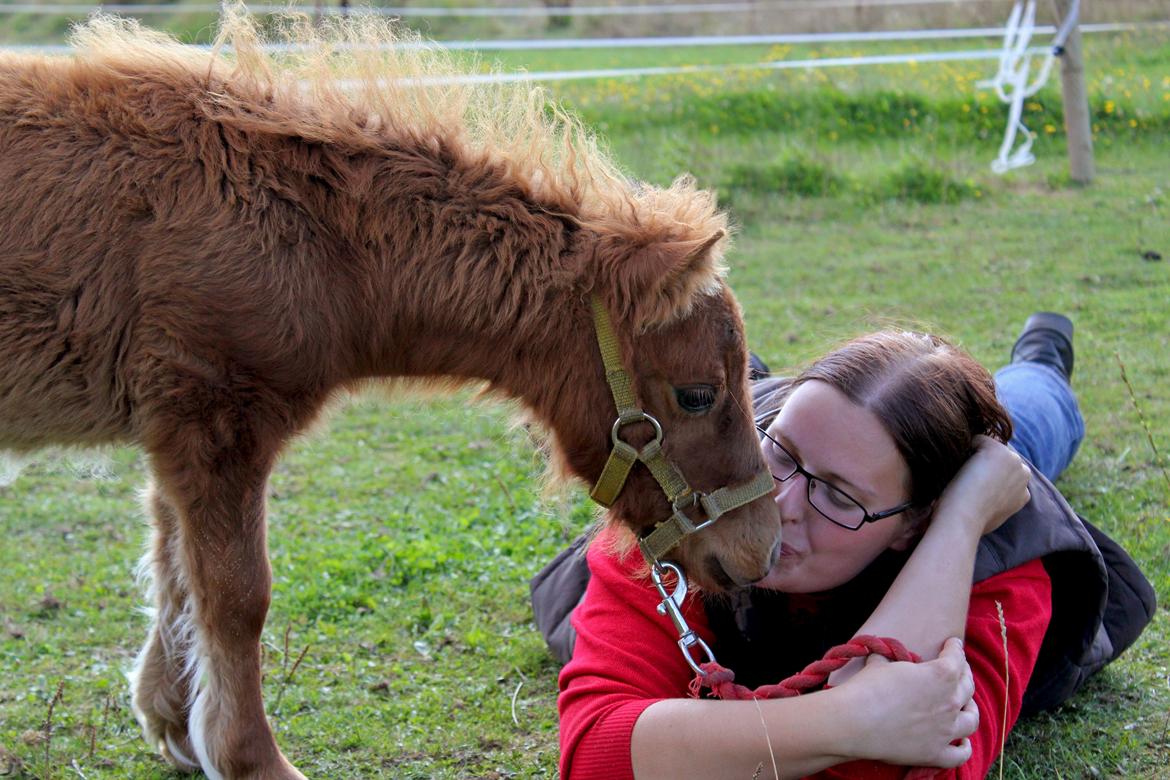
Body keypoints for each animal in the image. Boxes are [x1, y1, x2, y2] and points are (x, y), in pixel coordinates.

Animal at [0, 9, 779, 779]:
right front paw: (251, 760)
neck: (317, 236)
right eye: (698, 395)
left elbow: (175, 575)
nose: (760, 550)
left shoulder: (175, 433)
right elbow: (236, 596)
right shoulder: (215, 419)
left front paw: (173, 722)